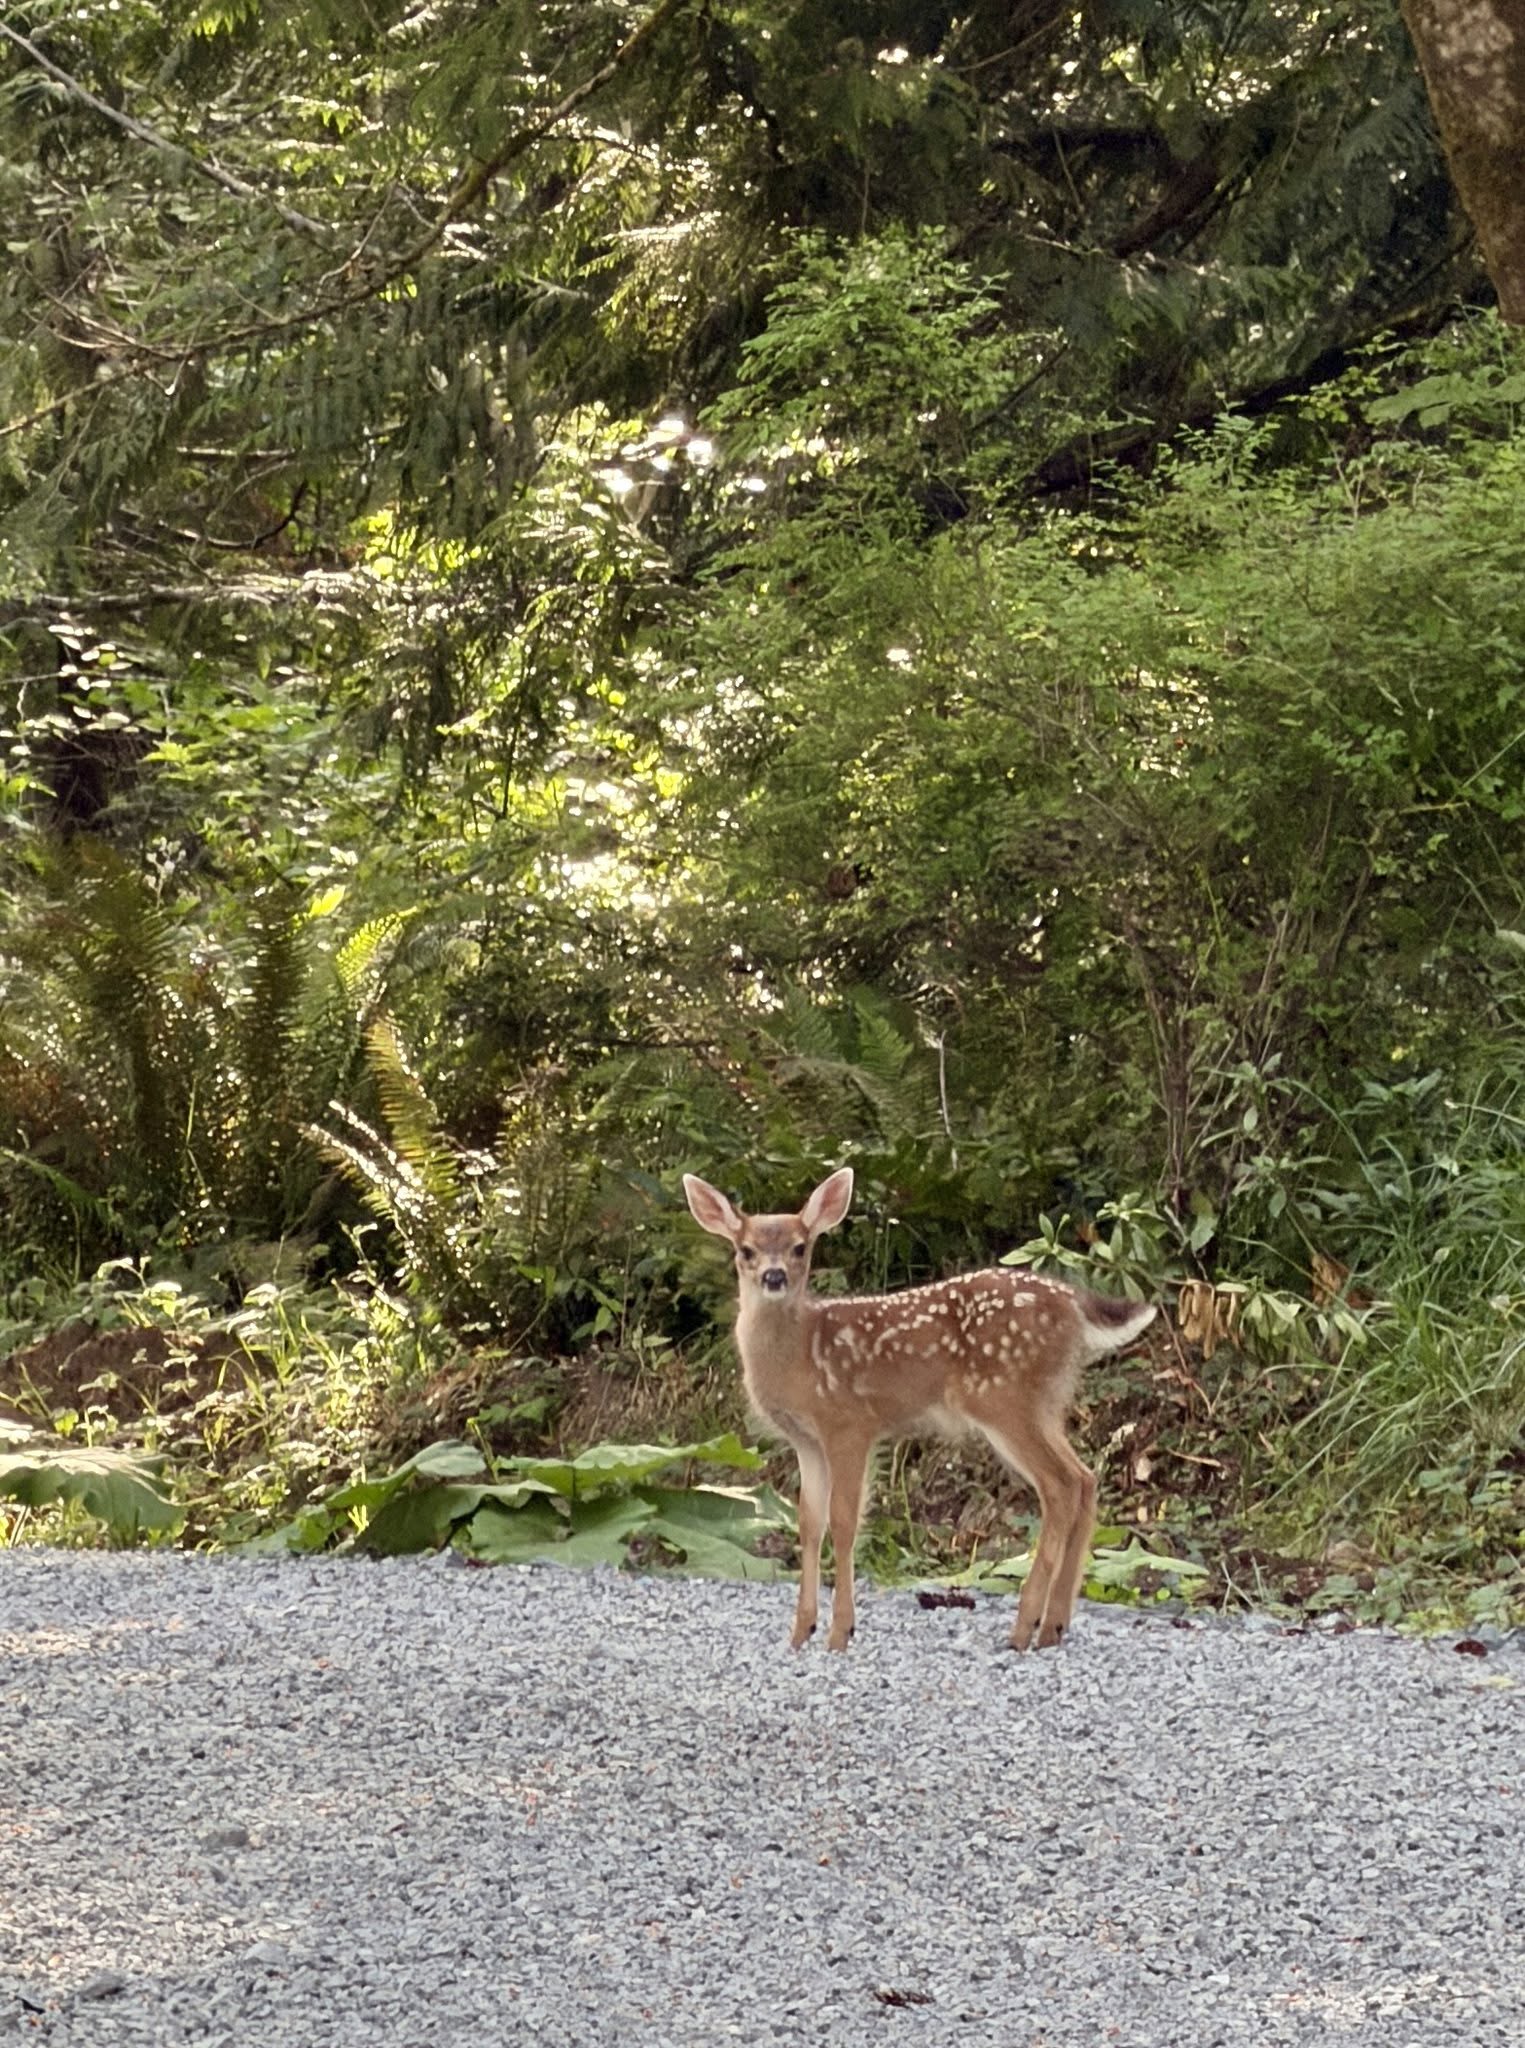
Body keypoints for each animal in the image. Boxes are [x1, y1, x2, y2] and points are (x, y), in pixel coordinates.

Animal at [683, 1166, 1157, 1653]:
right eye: (746, 1249)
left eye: (800, 1246)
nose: (774, 1276)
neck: (801, 1356)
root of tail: (1073, 1302)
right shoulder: (807, 1440)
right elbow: (809, 1524)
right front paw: (800, 1632)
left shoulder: (849, 1423)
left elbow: (844, 1522)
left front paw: (840, 1632)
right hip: (1045, 1402)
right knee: (1084, 1479)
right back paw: (1053, 1627)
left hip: (1003, 1399)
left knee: (1060, 1486)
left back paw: (1024, 1628)